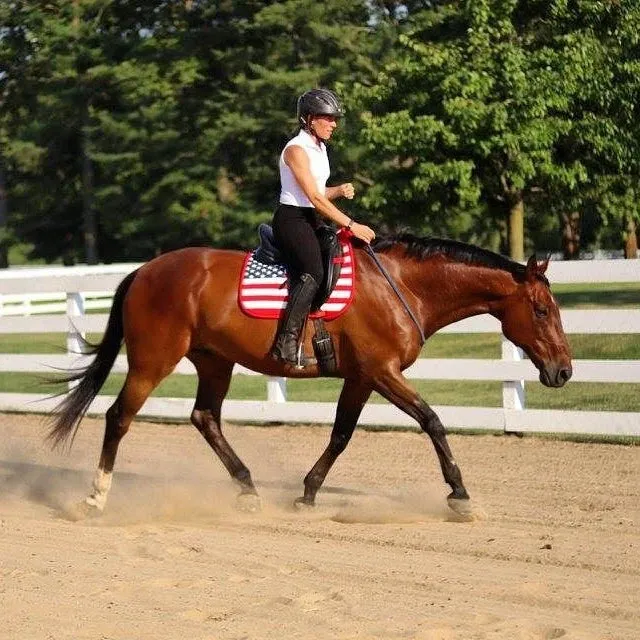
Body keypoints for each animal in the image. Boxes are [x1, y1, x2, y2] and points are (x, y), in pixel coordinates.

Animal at [48, 235, 568, 520]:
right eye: (542, 311)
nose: (563, 370)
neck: (402, 287)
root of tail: (143, 271)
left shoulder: (362, 378)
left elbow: (340, 435)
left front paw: (308, 493)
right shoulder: (382, 372)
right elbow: (432, 421)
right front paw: (459, 495)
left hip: (215, 362)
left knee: (205, 418)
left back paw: (247, 489)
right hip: (153, 361)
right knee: (119, 417)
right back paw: (96, 498)